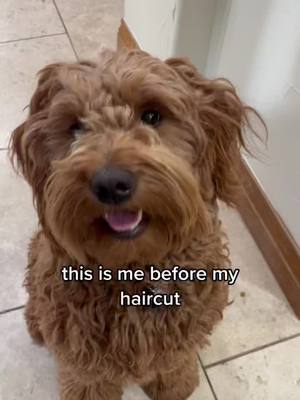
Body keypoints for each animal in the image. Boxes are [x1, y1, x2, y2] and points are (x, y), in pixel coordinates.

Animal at [9, 48, 262, 398]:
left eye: (152, 116)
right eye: (76, 127)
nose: (111, 184)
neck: (135, 267)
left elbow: (175, 361)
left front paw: (175, 384)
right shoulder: (81, 351)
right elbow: (88, 380)